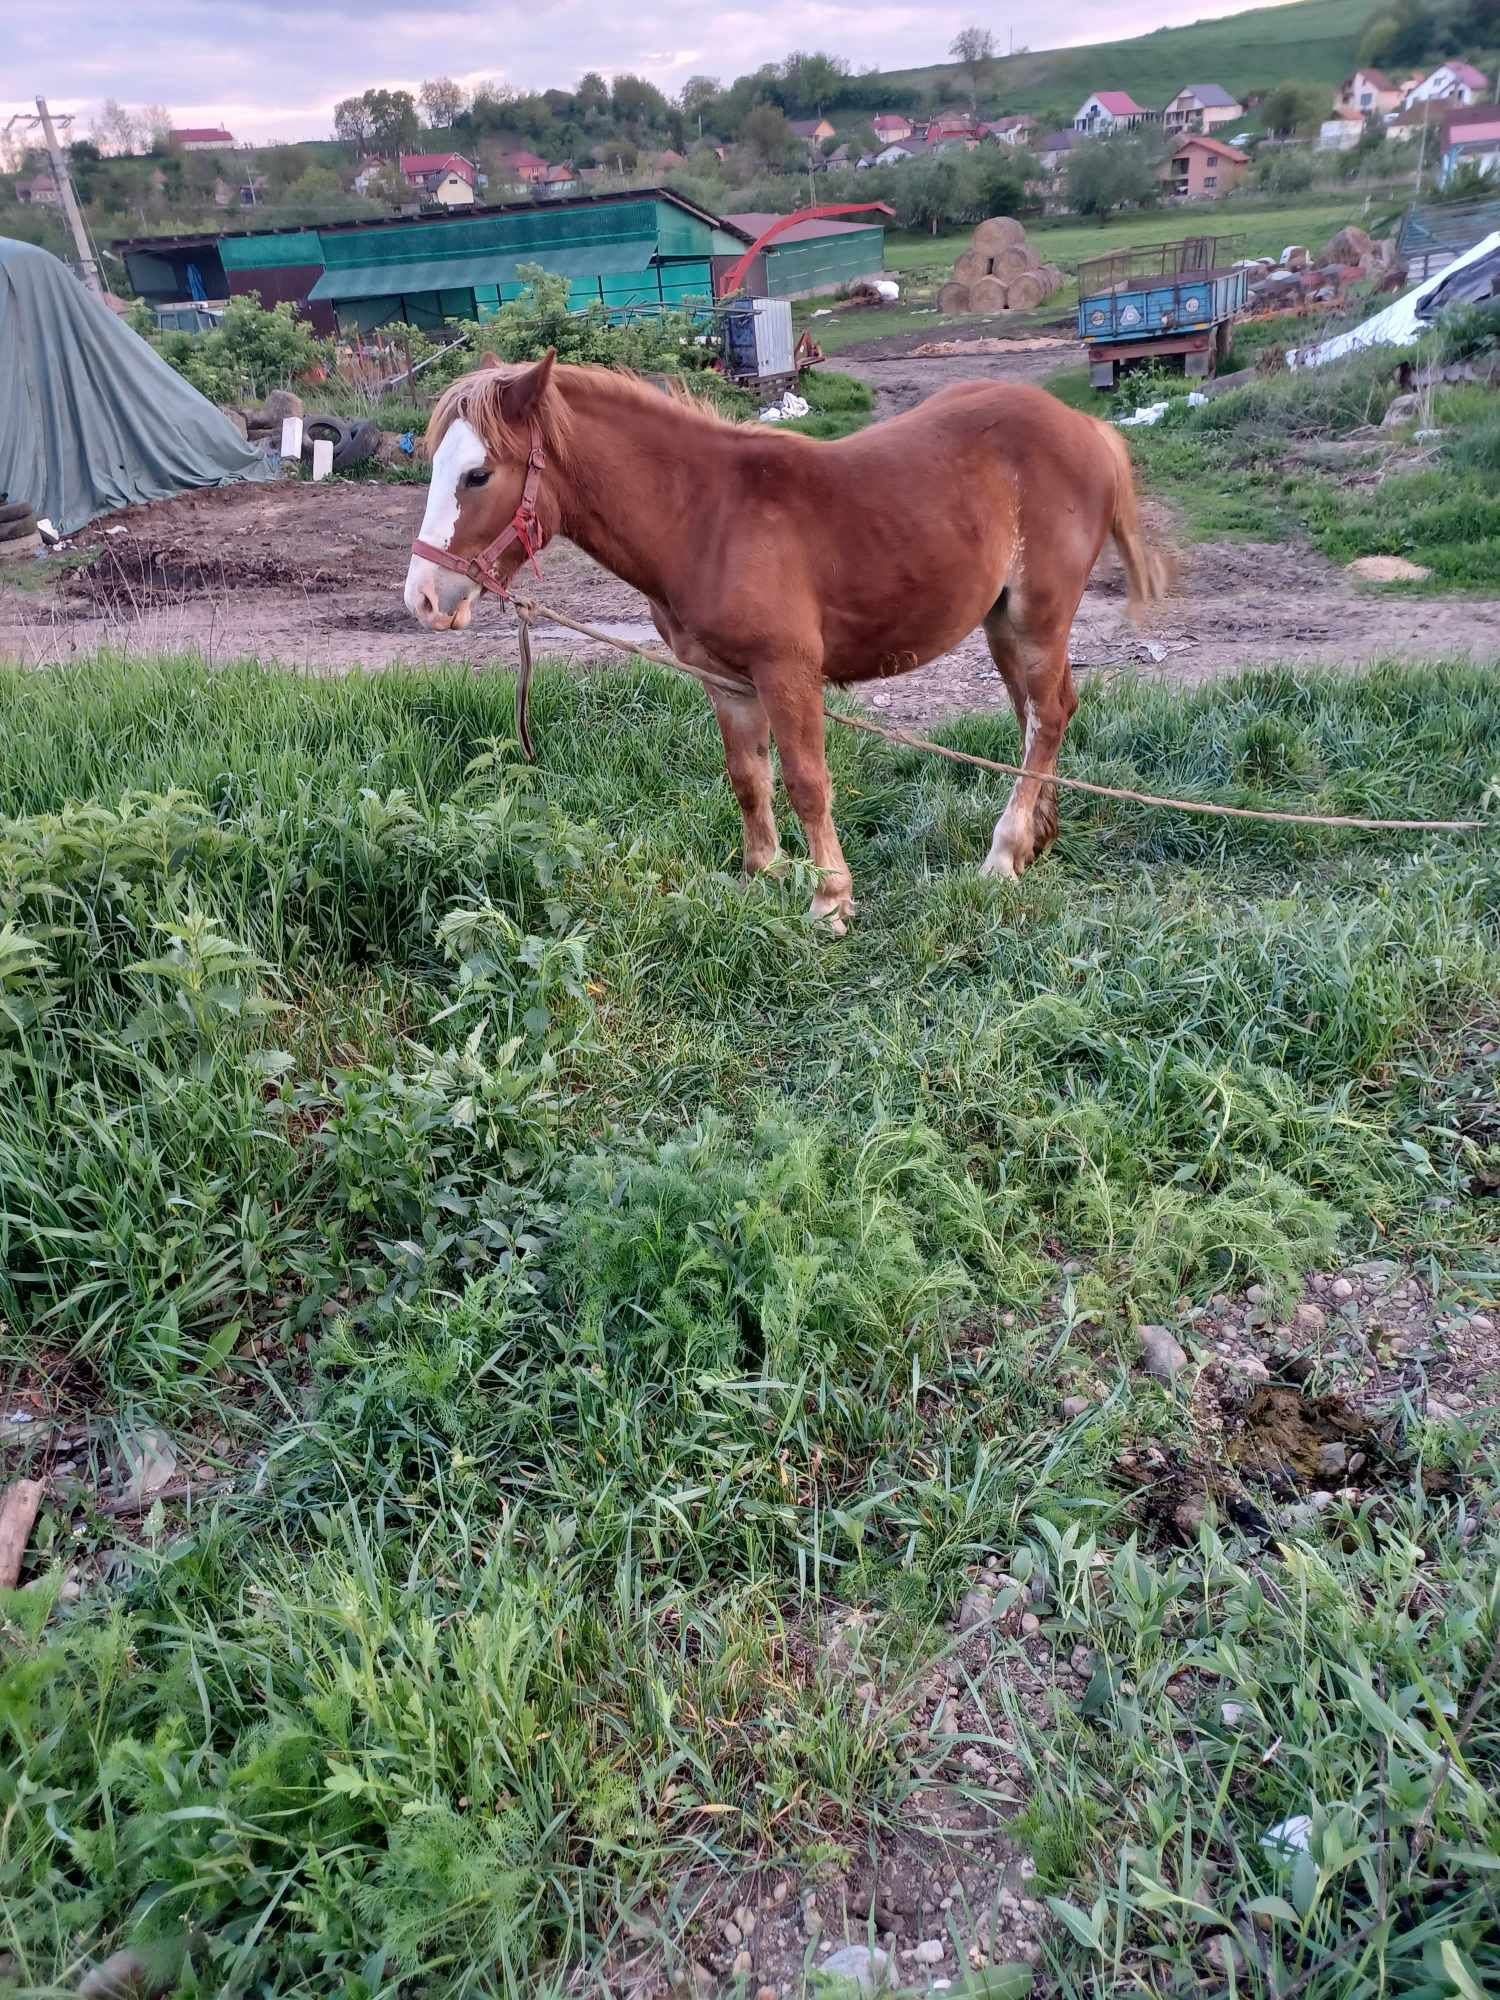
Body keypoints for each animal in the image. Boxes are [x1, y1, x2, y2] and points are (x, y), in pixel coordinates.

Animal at [406, 354, 1168, 928]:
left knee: (1047, 718)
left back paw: (1003, 854)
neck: (707, 518)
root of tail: (1088, 428)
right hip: (1003, 623)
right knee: (1041, 715)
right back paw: (1037, 838)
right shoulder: (726, 679)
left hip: (1038, 620)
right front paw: (761, 875)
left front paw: (831, 900)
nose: (423, 600)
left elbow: (806, 782)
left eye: (478, 474)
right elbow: (748, 777)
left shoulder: (787, 673)